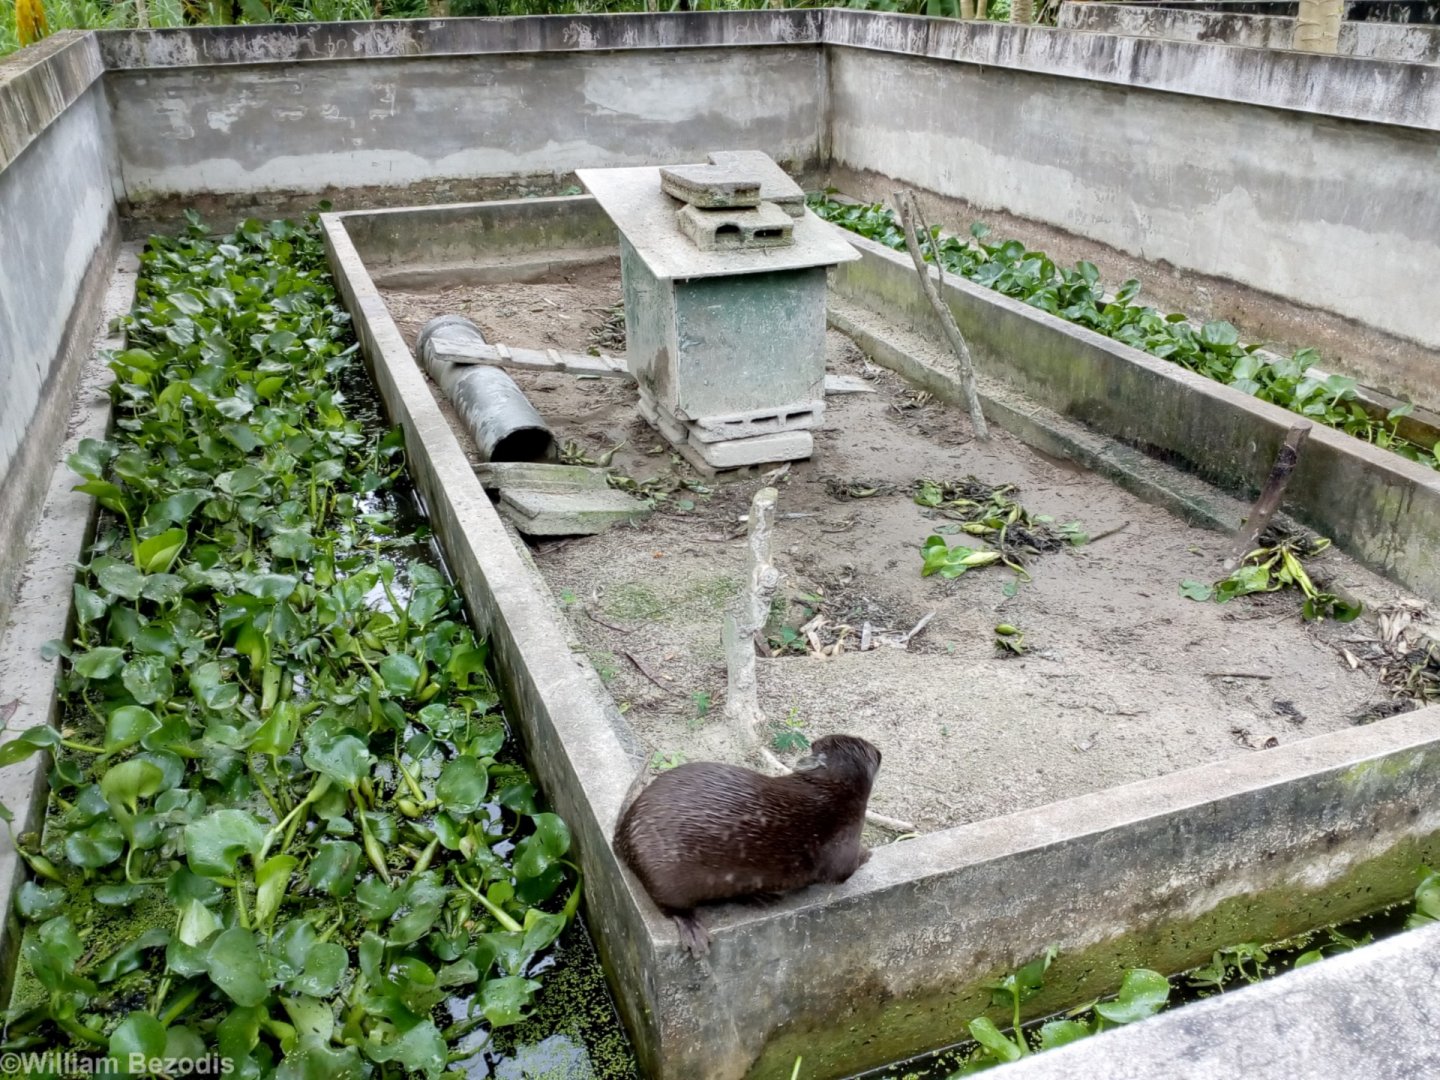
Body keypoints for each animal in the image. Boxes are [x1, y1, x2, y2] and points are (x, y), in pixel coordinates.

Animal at [613, 733, 882, 956]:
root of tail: (624, 833)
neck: (832, 793)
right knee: (671, 907)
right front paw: (868, 853)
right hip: (661, 876)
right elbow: (843, 871)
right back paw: (693, 930)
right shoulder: (842, 844)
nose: (880, 751)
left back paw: (759, 897)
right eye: (868, 749)